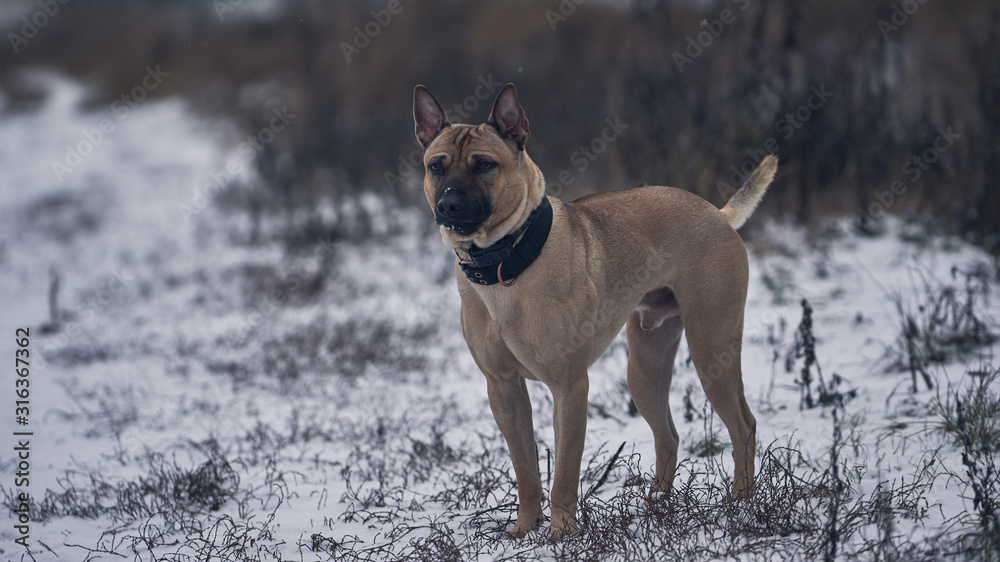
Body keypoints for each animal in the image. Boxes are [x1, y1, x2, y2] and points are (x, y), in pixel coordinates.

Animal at [410, 83, 776, 540]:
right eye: (436, 166)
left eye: (485, 165)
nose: (449, 205)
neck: (505, 262)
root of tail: (716, 213)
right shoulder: (504, 389)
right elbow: (526, 470)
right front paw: (523, 530)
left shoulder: (569, 387)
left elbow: (564, 473)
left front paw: (561, 535)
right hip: (644, 371)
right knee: (668, 436)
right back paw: (658, 505)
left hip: (712, 350)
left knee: (743, 427)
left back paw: (740, 504)